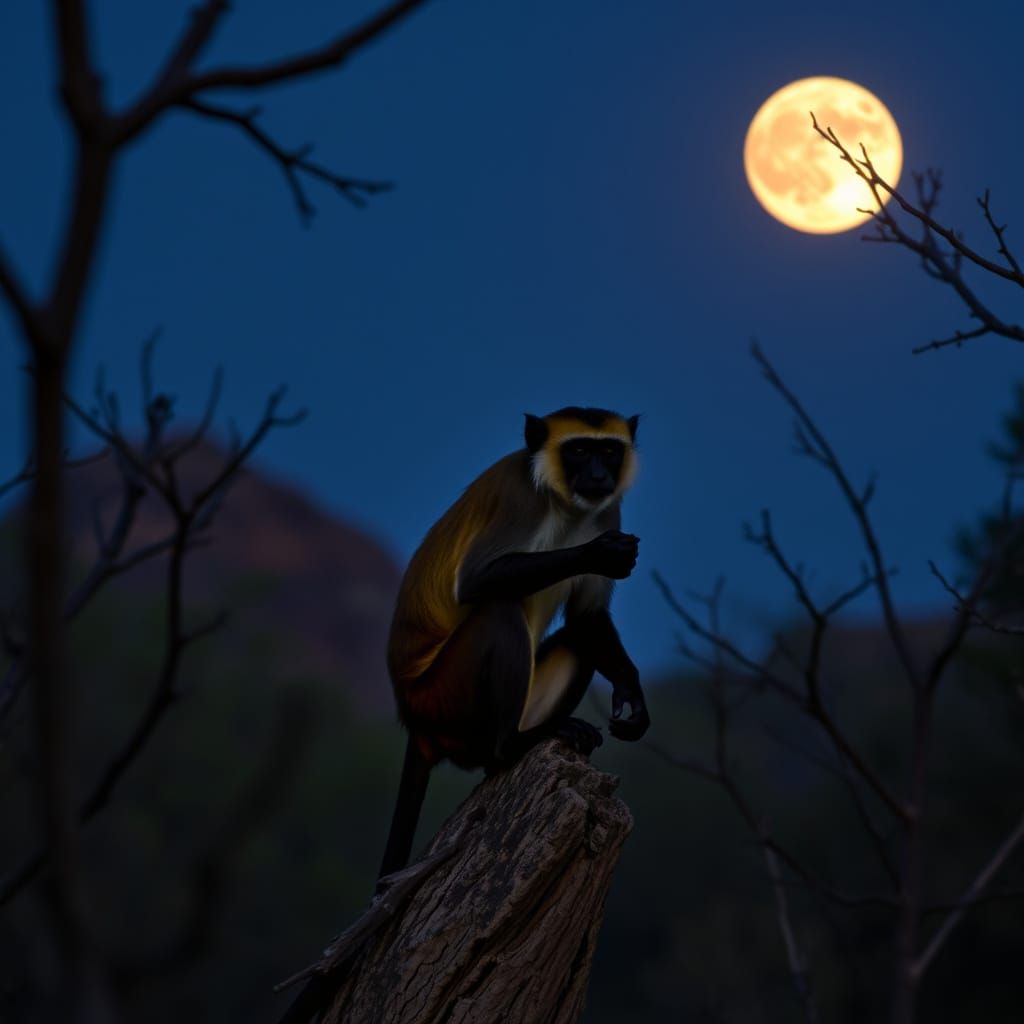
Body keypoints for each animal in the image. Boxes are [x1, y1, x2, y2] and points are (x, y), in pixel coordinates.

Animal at [378, 406, 650, 880]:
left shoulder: (608, 510)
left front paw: (632, 693)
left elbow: (587, 618)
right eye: (580, 451)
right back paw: (510, 747)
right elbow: (477, 582)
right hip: (444, 699)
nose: (598, 474)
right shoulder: (521, 499)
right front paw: (599, 553)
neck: (566, 506)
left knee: (577, 641)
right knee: (499, 611)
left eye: (609, 452)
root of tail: (416, 721)